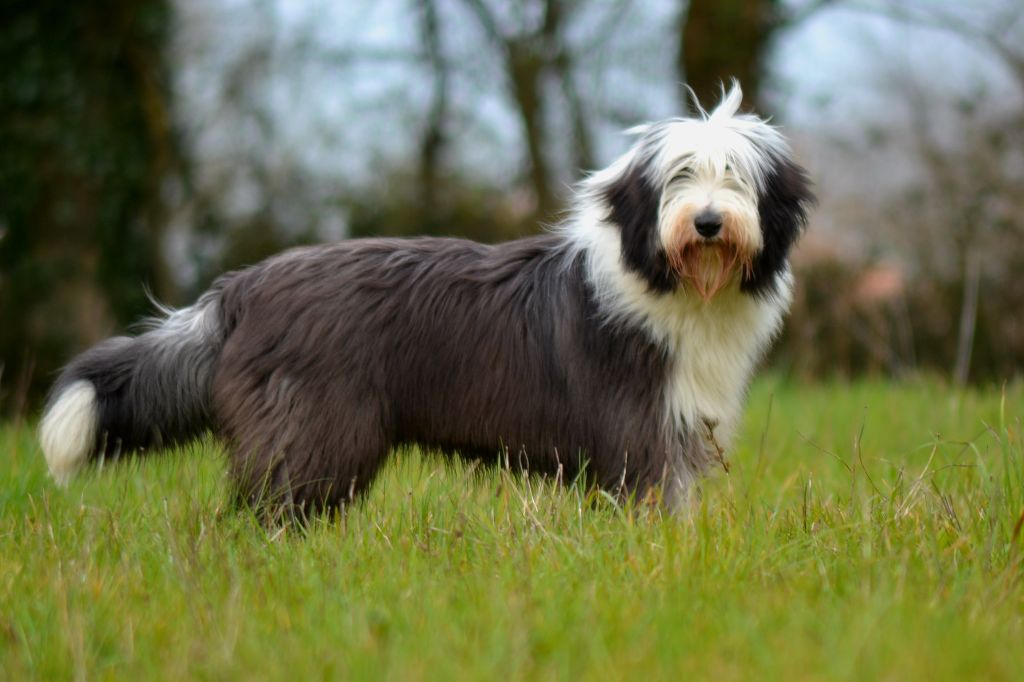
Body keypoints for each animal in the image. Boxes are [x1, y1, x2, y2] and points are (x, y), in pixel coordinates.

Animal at [36, 82, 811, 512]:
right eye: (679, 176)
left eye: (736, 178)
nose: (707, 222)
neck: (675, 286)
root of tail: (241, 288)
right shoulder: (639, 440)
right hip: (313, 434)